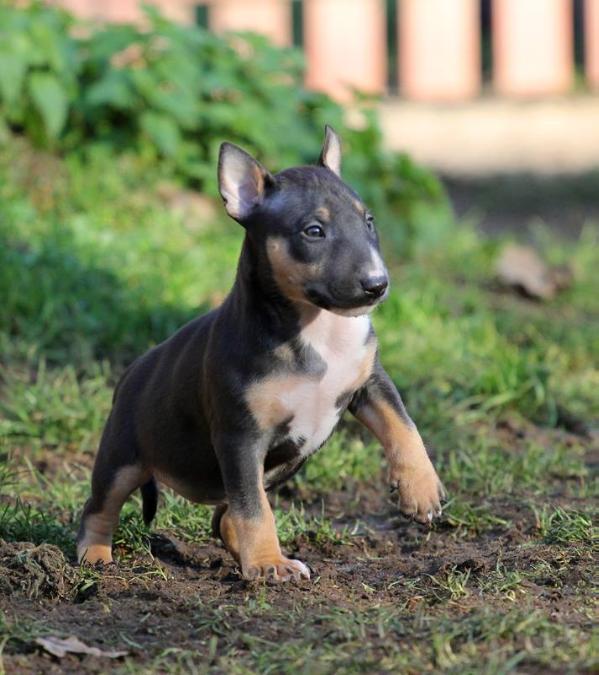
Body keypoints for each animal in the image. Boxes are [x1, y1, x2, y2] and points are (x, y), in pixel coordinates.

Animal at [77, 127, 446, 580]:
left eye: (369, 221)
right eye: (313, 231)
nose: (377, 285)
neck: (316, 326)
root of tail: (130, 373)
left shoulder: (370, 381)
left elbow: (404, 425)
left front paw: (421, 490)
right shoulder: (240, 436)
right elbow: (254, 510)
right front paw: (269, 565)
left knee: (225, 517)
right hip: (122, 455)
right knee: (101, 505)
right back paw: (95, 557)